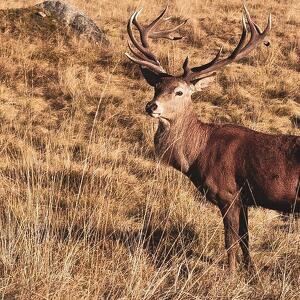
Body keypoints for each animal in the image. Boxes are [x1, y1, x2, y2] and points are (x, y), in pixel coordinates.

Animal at [125, 5, 300, 272]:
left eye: (179, 91)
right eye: (156, 87)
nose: (151, 106)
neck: (198, 154)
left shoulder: (227, 193)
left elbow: (230, 242)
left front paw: (231, 273)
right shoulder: (245, 199)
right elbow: (246, 240)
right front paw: (251, 271)